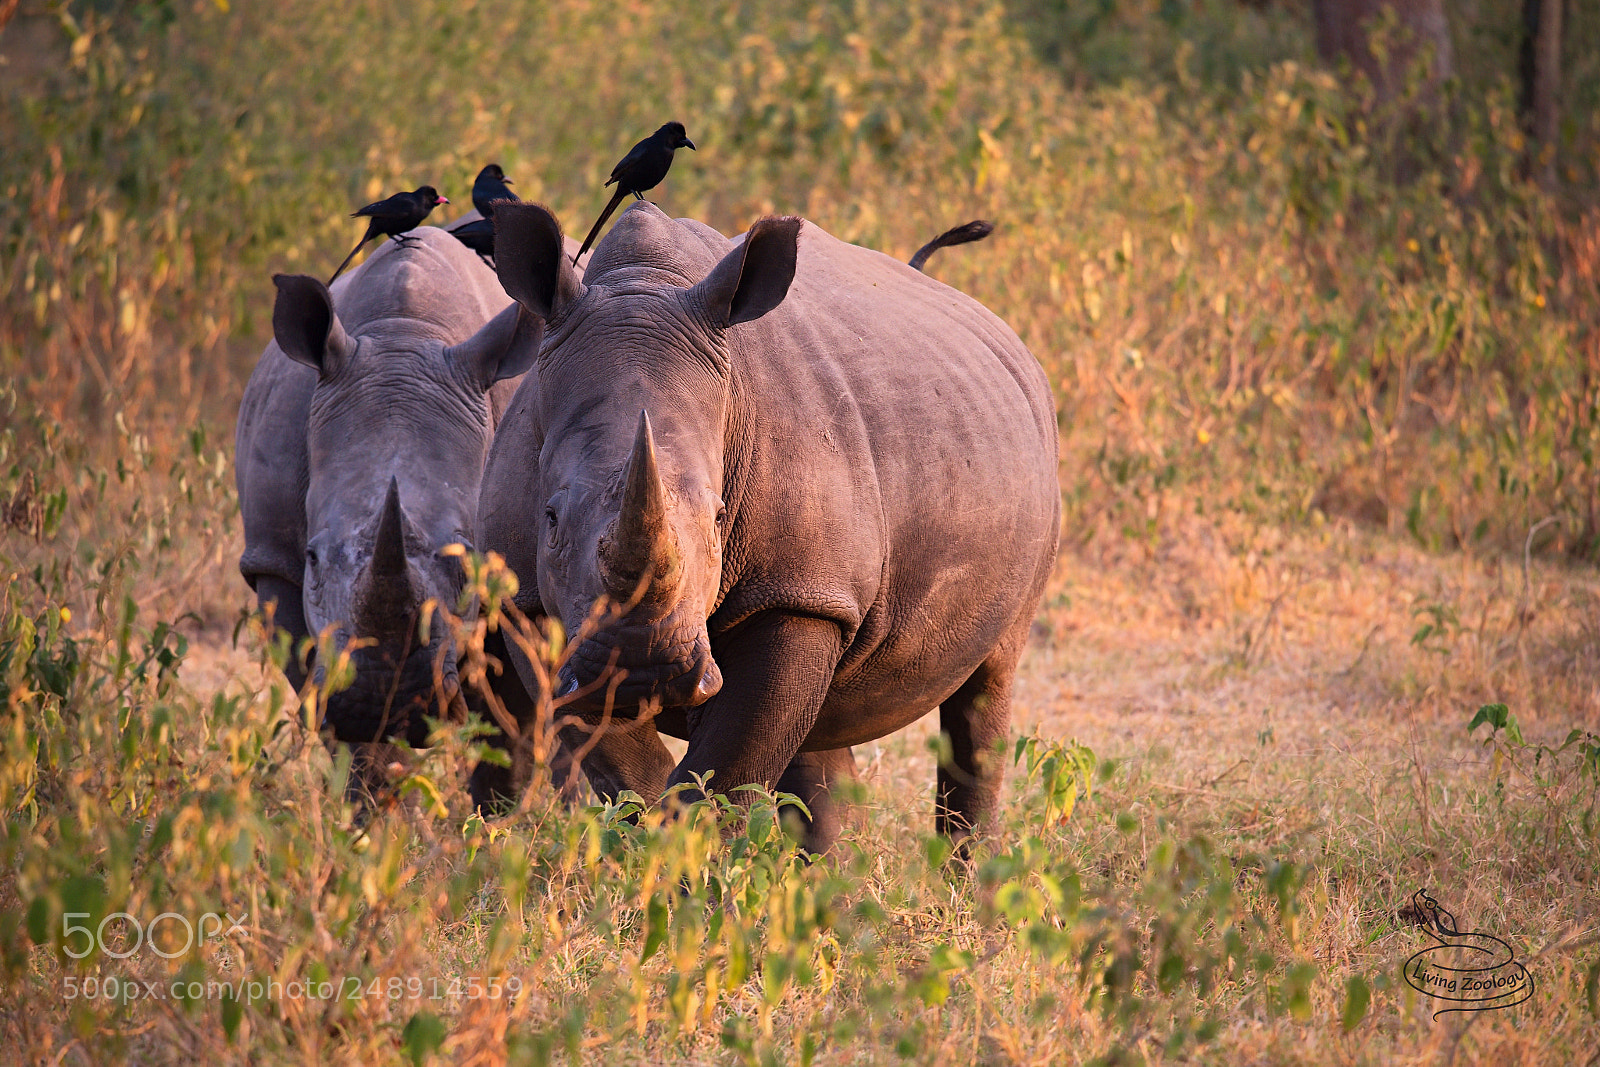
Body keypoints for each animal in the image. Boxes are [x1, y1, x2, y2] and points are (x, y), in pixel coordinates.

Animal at [232, 220, 569, 793]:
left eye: (468, 565)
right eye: (313, 559)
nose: (381, 699)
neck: (404, 335)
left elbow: (511, 726)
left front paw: (497, 813)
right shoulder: (274, 560)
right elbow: (348, 734)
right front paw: (373, 797)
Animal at [486, 202, 1062, 851]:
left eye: (719, 518)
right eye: (550, 518)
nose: (642, 665)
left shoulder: (798, 592)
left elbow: (724, 771)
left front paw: (684, 858)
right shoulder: (528, 601)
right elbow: (622, 767)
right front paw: (653, 841)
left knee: (988, 682)